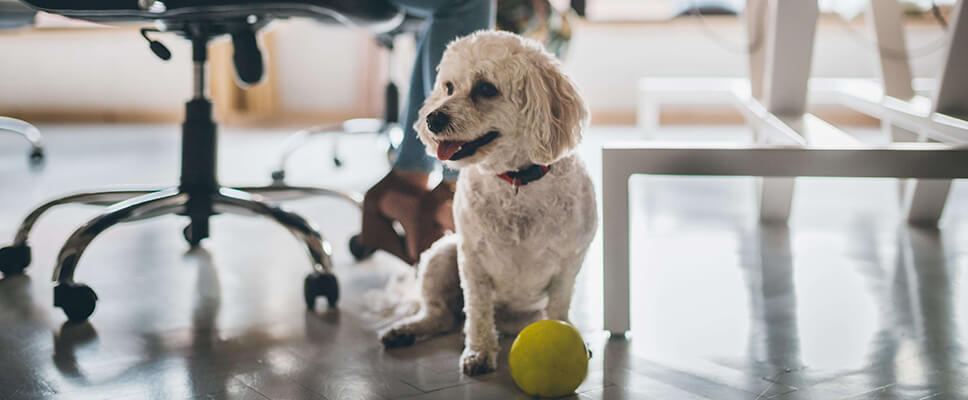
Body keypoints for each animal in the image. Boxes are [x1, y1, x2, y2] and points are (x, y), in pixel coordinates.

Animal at [380, 30, 596, 376]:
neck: (516, 179)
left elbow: (560, 306)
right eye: (448, 87)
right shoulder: (473, 262)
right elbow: (479, 311)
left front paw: (566, 335)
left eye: (485, 89)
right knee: (441, 315)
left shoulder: (569, 263)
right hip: (441, 254)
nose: (432, 118)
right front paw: (479, 351)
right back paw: (408, 330)